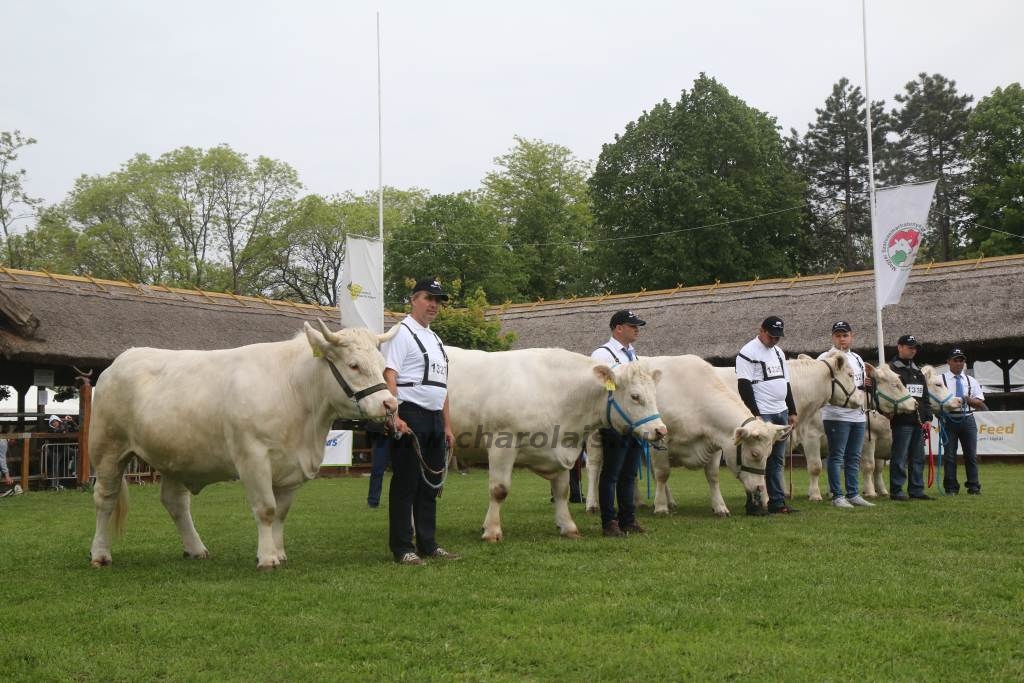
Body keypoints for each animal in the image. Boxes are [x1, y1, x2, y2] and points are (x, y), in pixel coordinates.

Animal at [88, 323, 399, 569]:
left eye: (381, 363)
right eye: (354, 365)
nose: (390, 404)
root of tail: (123, 358)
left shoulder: (291, 468)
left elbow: (281, 513)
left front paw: (279, 552)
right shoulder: (253, 457)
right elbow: (266, 509)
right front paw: (267, 558)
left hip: (174, 456)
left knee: (175, 502)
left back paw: (196, 549)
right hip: (108, 449)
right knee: (105, 498)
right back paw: (100, 554)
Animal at [446, 350, 667, 540]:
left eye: (655, 394)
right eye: (635, 396)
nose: (661, 430)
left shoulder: (562, 451)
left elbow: (562, 491)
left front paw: (568, 527)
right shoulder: (502, 443)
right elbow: (499, 490)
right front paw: (492, 531)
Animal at [585, 358, 790, 518]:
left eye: (768, 454)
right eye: (755, 454)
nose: (761, 490)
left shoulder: (715, 444)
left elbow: (713, 476)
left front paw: (720, 506)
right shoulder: (660, 440)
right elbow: (662, 473)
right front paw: (661, 507)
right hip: (595, 438)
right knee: (594, 467)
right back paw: (592, 504)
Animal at [790, 362, 921, 501]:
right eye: (895, 385)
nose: (915, 403)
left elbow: (877, 468)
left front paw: (881, 491)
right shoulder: (812, 437)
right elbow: (817, 467)